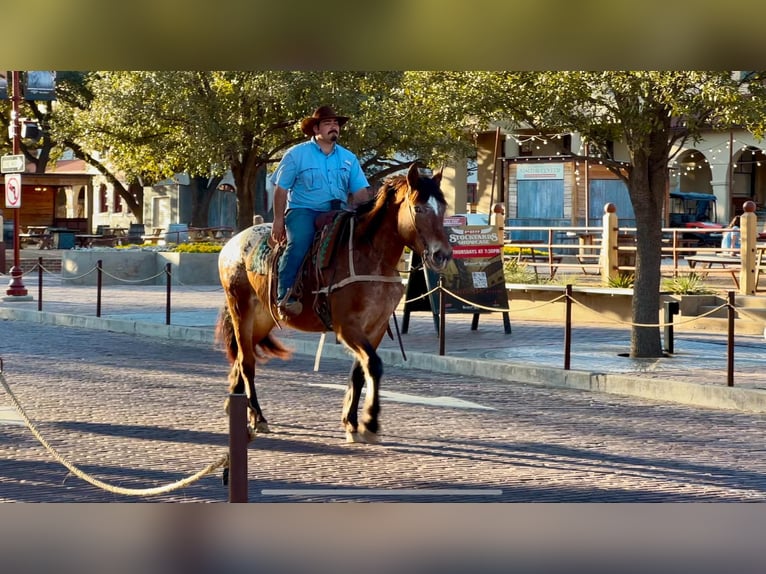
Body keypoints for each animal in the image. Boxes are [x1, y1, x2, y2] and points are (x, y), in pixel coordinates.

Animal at [215, 163, 453, 443]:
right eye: (418, 208)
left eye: (443, 208)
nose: (442, 254)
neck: (370, 256)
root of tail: (232, 243)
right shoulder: (347, 326)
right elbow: (373, 365)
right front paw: (370, 422)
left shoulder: (376, 327)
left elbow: (360, 372)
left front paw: (352, 422)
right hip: (241, 309)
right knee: (247, 362)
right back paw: (258, 416)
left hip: (262, 319)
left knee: (243, 358)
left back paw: (238, 404)